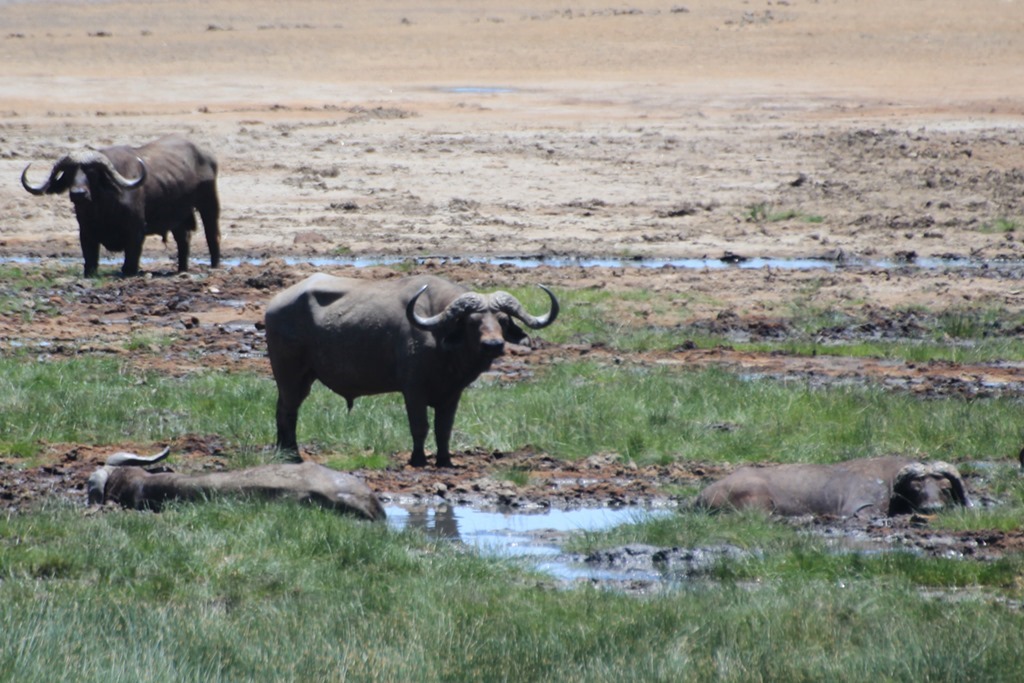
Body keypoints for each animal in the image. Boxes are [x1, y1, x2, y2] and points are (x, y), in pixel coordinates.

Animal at [21, 134, 220, 277]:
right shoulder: (86, 232)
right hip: (177, 216)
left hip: (209, 203)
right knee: (183, 239)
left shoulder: (136, 231)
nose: (78, 193)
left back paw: (215, 264)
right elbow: (90, 259)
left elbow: (130, 260)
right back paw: (181, 269)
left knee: (211, 234)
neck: (103, 209)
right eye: (69, 172)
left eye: (91, 172)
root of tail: (206, 156)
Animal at [265, 273, 559, 467]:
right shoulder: (413, 390)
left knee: (284, 408)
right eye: (472, 322)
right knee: (287, 410)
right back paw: (292, 454)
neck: (442, 344)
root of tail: (275, 304)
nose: (493, 345)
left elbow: (444, 428)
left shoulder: (452, 393)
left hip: (303, 377)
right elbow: (420, 426)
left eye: (502, 320)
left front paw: (444, 460)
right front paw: (418, 459)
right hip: (289, 373)